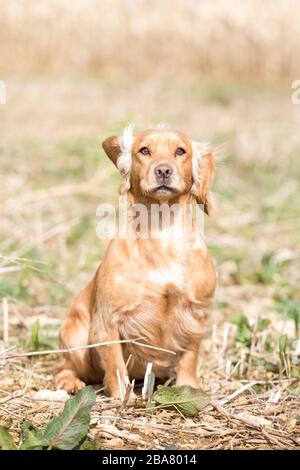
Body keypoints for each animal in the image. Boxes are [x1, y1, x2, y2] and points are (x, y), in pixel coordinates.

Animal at [54, 126, 216, 398]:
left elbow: (190, 356)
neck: (161, 229)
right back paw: (70, 382)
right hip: (75, 337)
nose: (163, 170)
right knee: (64, 366)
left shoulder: (196, 314)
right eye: (144, 150)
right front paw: (122, 398)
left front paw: (189, 388)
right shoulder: (107, 322)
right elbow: (116, 366)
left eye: (180, 150)